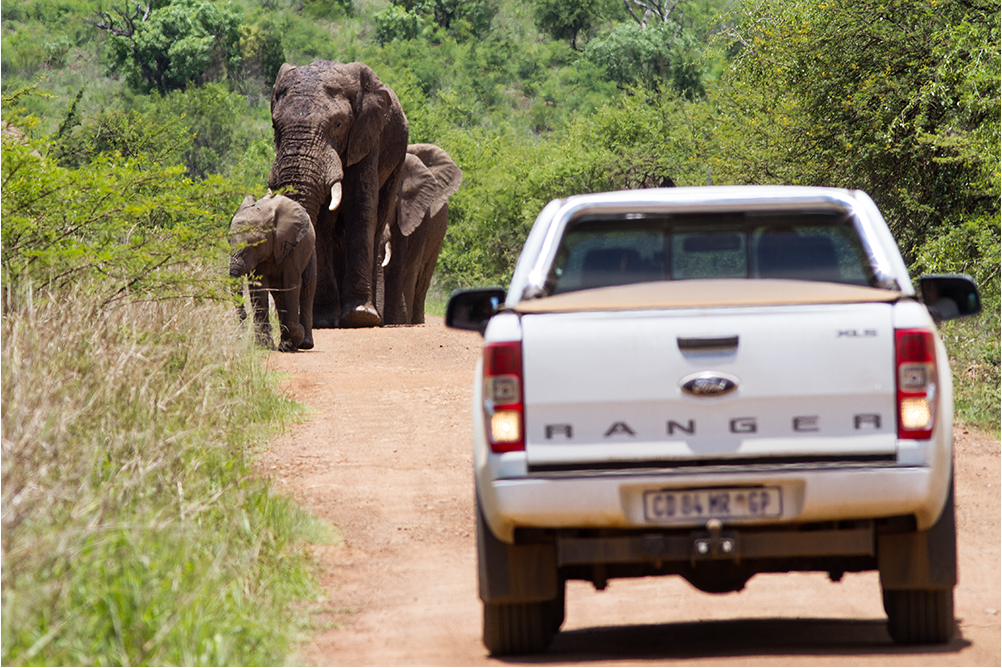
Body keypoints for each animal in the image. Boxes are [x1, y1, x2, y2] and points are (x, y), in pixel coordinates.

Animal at [229, 192, 314, 352]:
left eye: (256, 245)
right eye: (228, 241)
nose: (240, 337)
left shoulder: (292, 247)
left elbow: (292, 284)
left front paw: (297, 336)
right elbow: (258, 288)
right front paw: (264, 346)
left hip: (310, 250)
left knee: (307, 287)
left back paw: (304, 344)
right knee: (278, 295)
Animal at [268, 61, 408, 328]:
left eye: (339, 124)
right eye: (274, 126)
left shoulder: (367, 137)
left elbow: (360, 207)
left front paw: (360, 316)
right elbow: (322, 221)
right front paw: (324, 320)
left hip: (397, 161)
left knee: (377, 223)